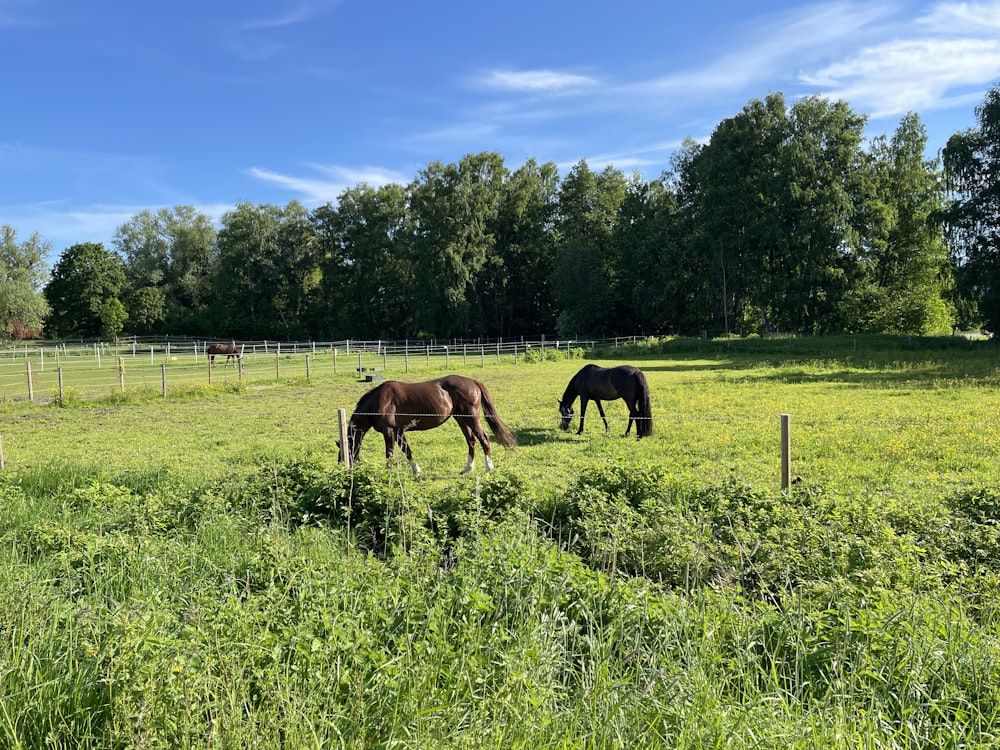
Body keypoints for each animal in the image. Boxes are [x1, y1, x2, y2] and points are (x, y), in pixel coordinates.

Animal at [346, 376, 516, 482]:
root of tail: (473, 382)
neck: (380, 400)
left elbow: (390, 454)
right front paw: (416, 472)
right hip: (461, 419)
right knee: (471, 441)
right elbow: (407, 451)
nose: (349, 470)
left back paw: (489, 468)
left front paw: (389, 474)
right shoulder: (398, 431)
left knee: (483, 439)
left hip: (472, 418)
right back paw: (467, 469)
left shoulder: (389, 431)